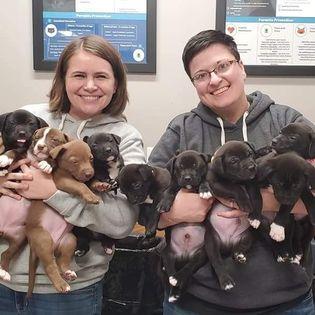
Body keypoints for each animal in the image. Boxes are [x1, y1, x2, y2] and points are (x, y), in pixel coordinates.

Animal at [158, 151, 212, 304]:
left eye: (195, 165)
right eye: (180, 167)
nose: (187, 178)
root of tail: (184, 255)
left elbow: (204, 181)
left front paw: (205, 190)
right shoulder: (175, 184)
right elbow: (169, 190)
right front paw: (164, 203)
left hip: (201, 255)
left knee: (189, 267)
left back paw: (178, 280)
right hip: (167, 252)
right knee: (170, 271)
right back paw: (173, 288)